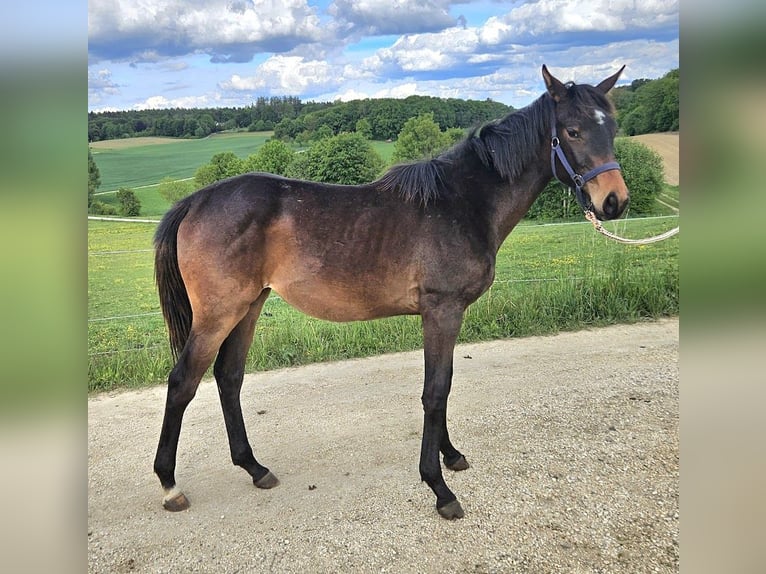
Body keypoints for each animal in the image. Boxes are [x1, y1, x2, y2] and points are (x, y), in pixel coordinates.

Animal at [153, 65, 629, 520]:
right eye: (572, 130)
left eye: (612, 126)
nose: (614, 201)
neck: (462, 202)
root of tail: (195, 200)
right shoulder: (443, 310)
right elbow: (435, 391)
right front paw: (439, 488)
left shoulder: (444, 315)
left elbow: (442, 386)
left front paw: (451, 455)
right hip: (219, 314)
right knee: (182, 382)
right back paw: (170, 485)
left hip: (250, 306)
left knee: (229, 377)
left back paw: (255, 468)